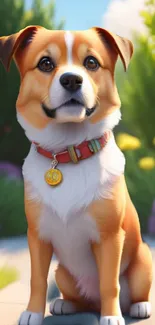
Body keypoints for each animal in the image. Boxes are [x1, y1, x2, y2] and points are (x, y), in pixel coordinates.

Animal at [0, 25, 153, 324]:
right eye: (45, 63)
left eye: (91, 62)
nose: (71, 80)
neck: (68, 151)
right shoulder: (37, 236)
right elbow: (37, 279)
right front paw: (32, 313)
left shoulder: (109, 238)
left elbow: (109, 283)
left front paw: (111, 317)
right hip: (63, 273)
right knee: (78, 297)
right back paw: (65, 304)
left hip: (143, 259)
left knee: (130, 290)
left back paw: (138, 306)